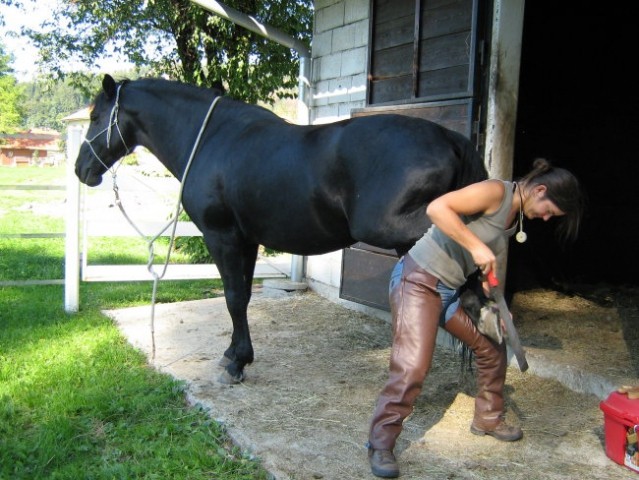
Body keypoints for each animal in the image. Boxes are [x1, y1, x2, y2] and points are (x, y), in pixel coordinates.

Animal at [76, 74, 484, 382]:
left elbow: (233, 297)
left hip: (401, 230)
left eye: (96, 117)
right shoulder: (248, 240)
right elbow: (243, 296)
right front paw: (234, 353)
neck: (212, 139)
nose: (82, 169)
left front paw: (236, 363)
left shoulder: (221, 236)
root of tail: (449, 138)